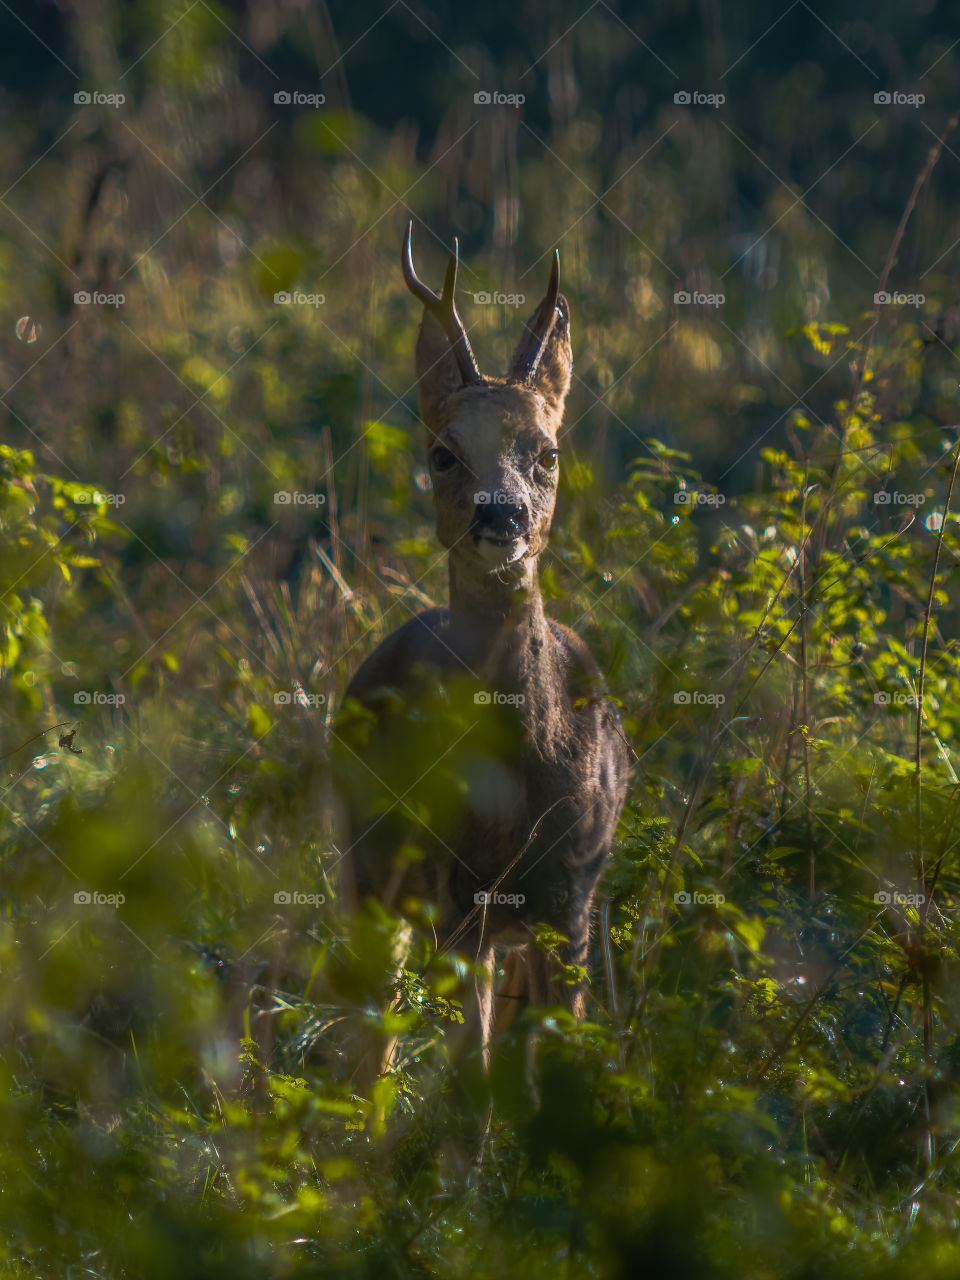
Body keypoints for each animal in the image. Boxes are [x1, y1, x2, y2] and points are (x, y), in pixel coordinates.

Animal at [335, 227, 634, 1100]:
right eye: (442, 454)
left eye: (548, 452)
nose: (501, 516)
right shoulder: (455, 891)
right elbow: (471, 1068)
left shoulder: (571, 895)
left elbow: (543, 1059)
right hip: (367, 868)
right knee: (375, 1032)